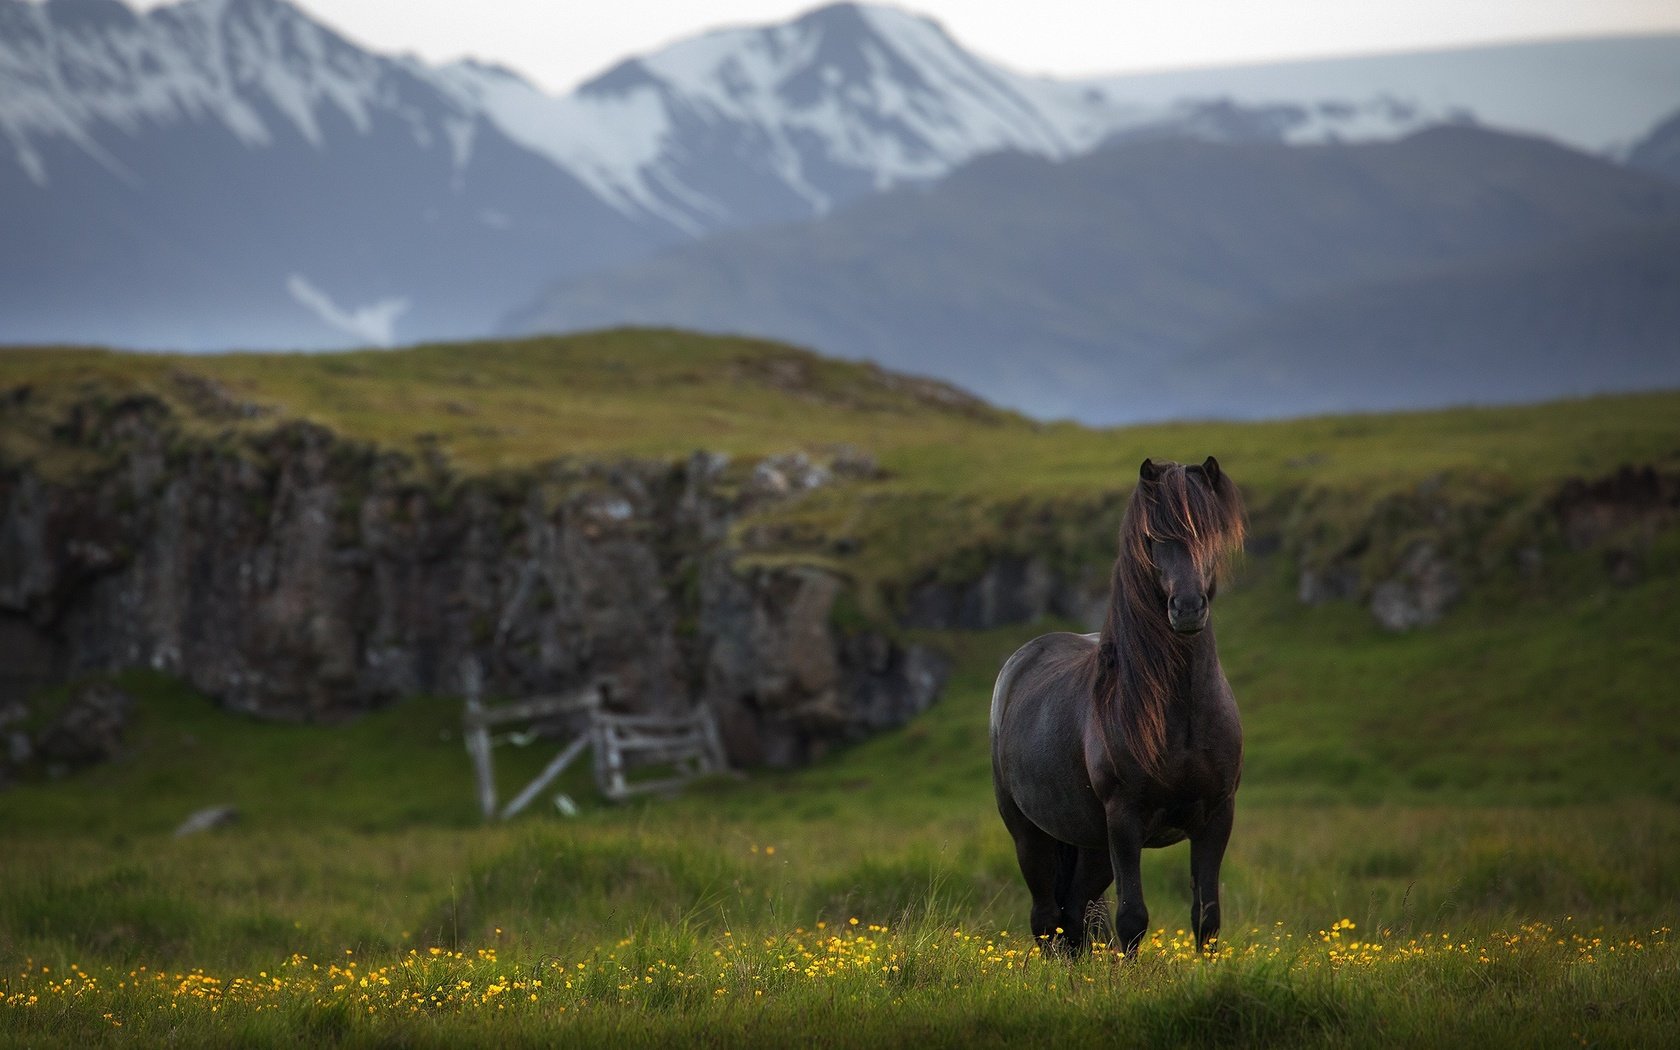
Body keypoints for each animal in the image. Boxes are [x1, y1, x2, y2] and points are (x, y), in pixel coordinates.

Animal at [981, 453, 1249, 954]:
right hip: (1031, 834)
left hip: (1091, 845)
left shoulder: (1216, 816)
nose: (1187, 608)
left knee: (1073, 914)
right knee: (1047, 918)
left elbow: (1207, 918)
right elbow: (1132, 919)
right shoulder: (1124, 821)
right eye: (1152, 537)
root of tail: (1021, 661)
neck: (1180, 714)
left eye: (1211, 531)